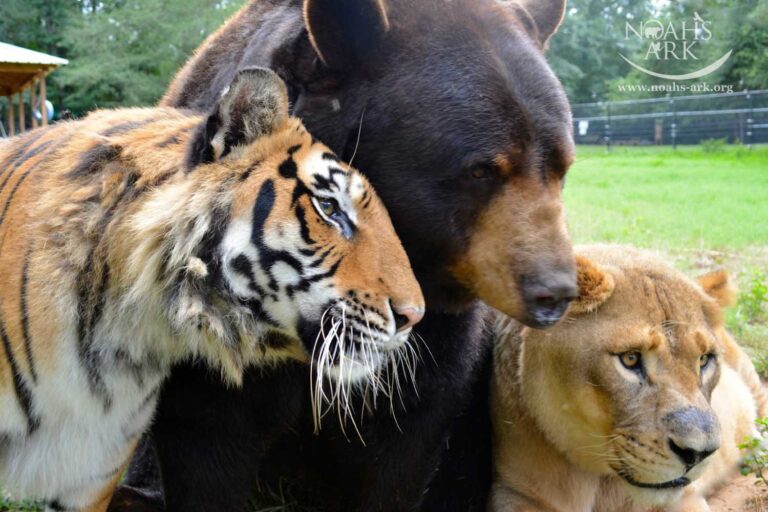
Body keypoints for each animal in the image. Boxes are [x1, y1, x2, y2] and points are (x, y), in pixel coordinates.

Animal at [491, 244, 767, 512]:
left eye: (703, 360)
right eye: (630, 358)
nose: (698, 454)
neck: (597, 482)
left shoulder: (684, 498)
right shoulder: (513, 493)